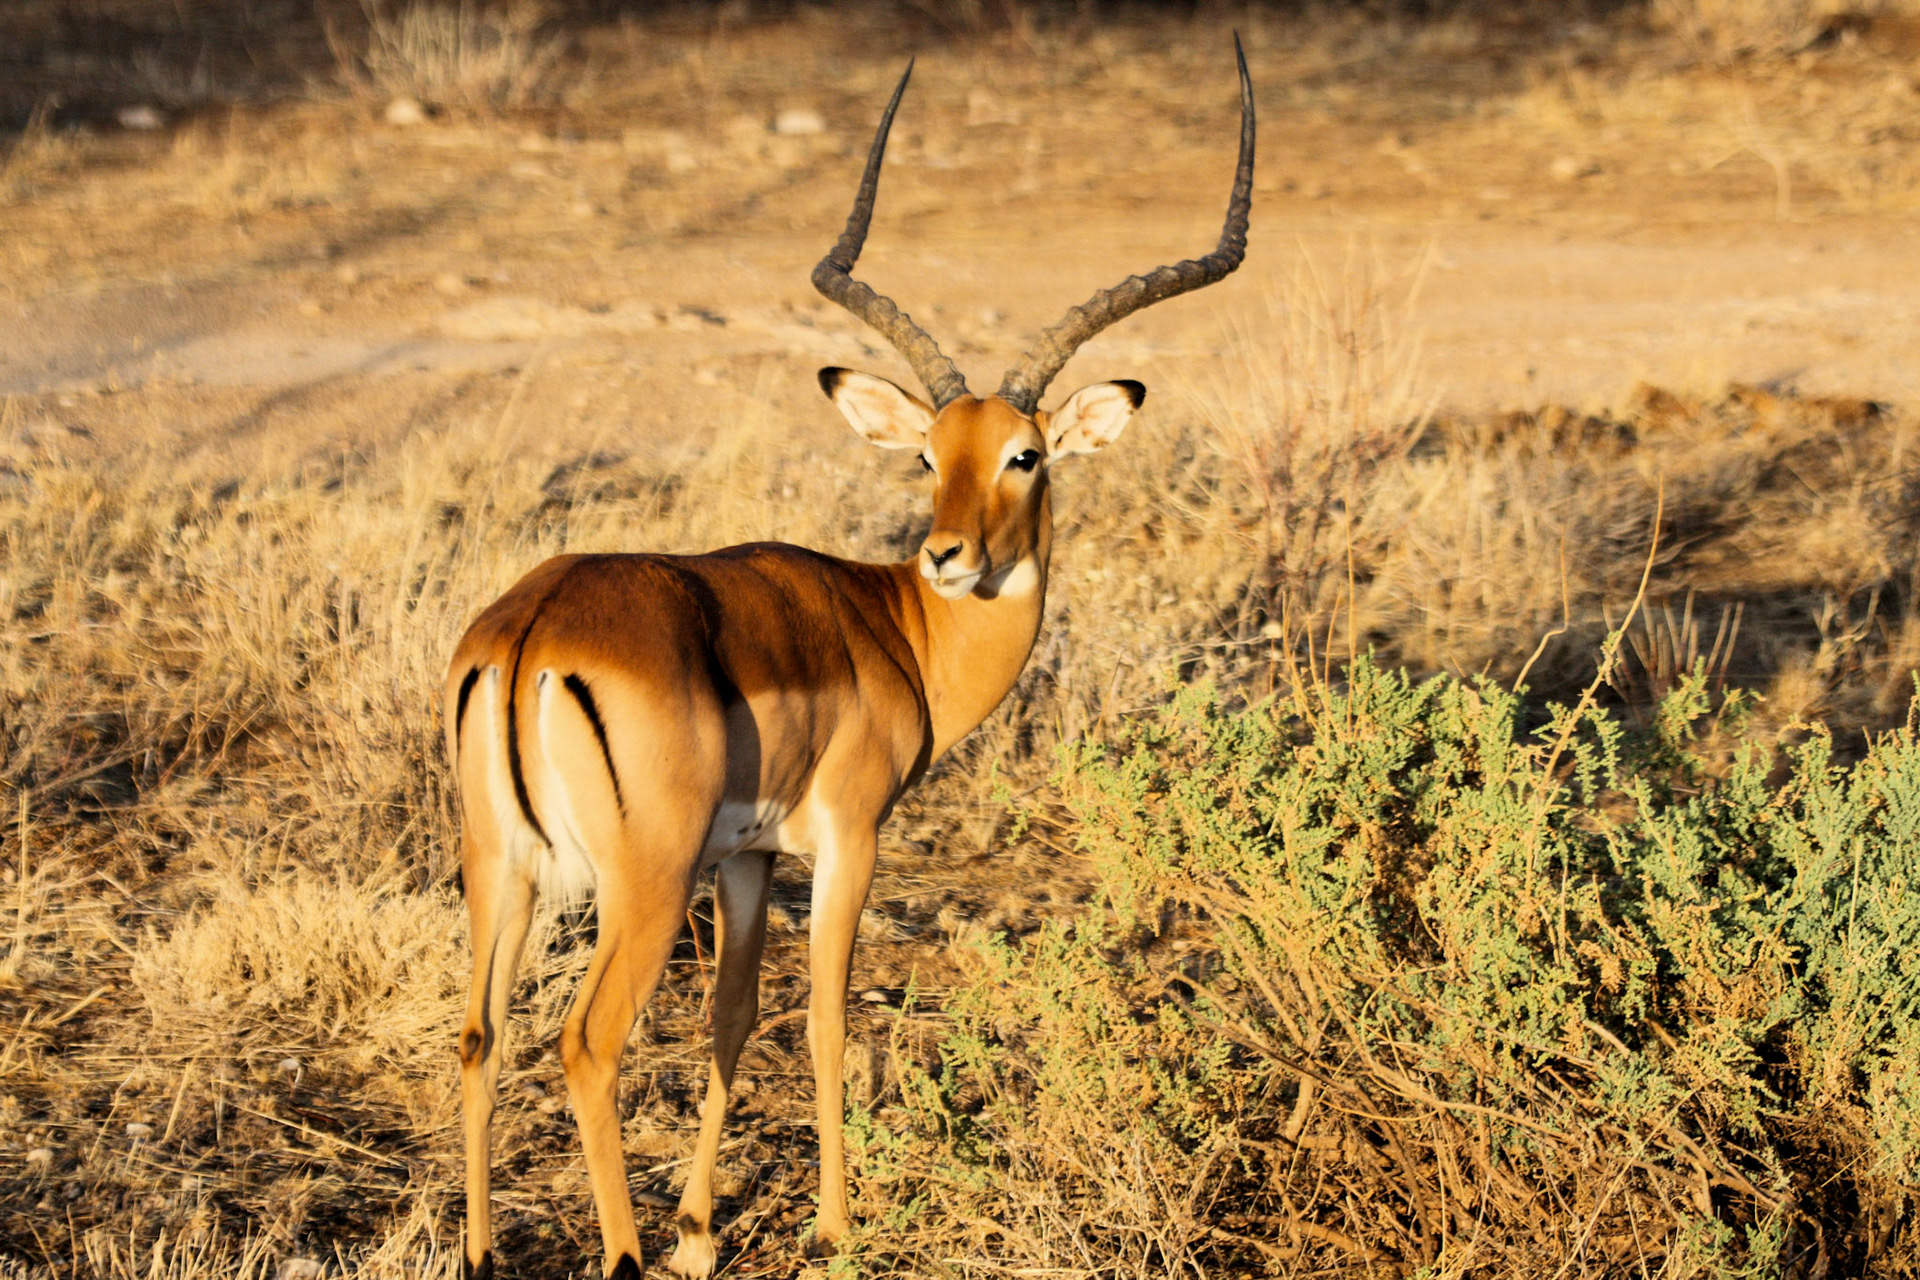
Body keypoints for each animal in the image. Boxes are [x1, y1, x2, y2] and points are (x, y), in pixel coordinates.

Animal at [446, 42, 1254, 1280]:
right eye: (929, 453)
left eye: (1020, 453)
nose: (949, 553)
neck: (898, 628)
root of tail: (532, 627)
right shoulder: (848, 838)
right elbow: (828, 1014)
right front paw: (831, 1225)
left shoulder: (746, 858)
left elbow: (732, 1016)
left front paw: (698, 1232)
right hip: (637, 882)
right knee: (586, 1041)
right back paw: (623, 1248)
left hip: (506, 868)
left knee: (481, 1032)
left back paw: (487, 1249)